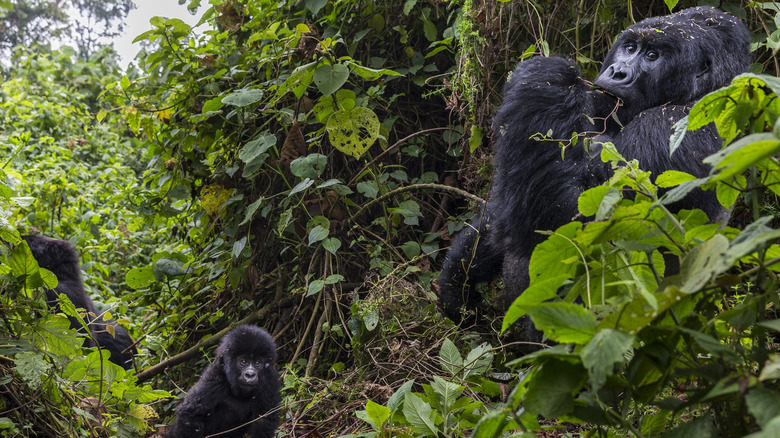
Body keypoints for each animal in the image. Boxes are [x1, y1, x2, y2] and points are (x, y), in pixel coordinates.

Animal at [438, 6, 748, 322]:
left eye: (652, 56)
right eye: (630, 48)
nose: (617, 71)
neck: (706, 92)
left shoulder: (672, 130)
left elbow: (577, 221)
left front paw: (543, 78)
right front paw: (457, 283)